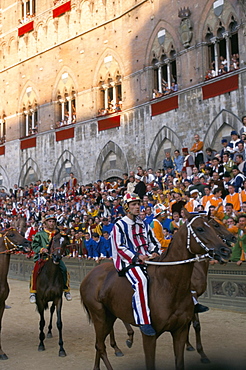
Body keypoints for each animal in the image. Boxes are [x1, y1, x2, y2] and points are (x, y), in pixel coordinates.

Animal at [80, 211, 231, 370]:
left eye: (213, 226)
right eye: (200, 228)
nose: (226, 250)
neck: (169, 285)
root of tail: (88, 276)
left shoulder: (180, 330)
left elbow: (180, 359)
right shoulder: (150, 336)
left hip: (110, 315)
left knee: (99, 344)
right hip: (99, 316)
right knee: (100, 346)